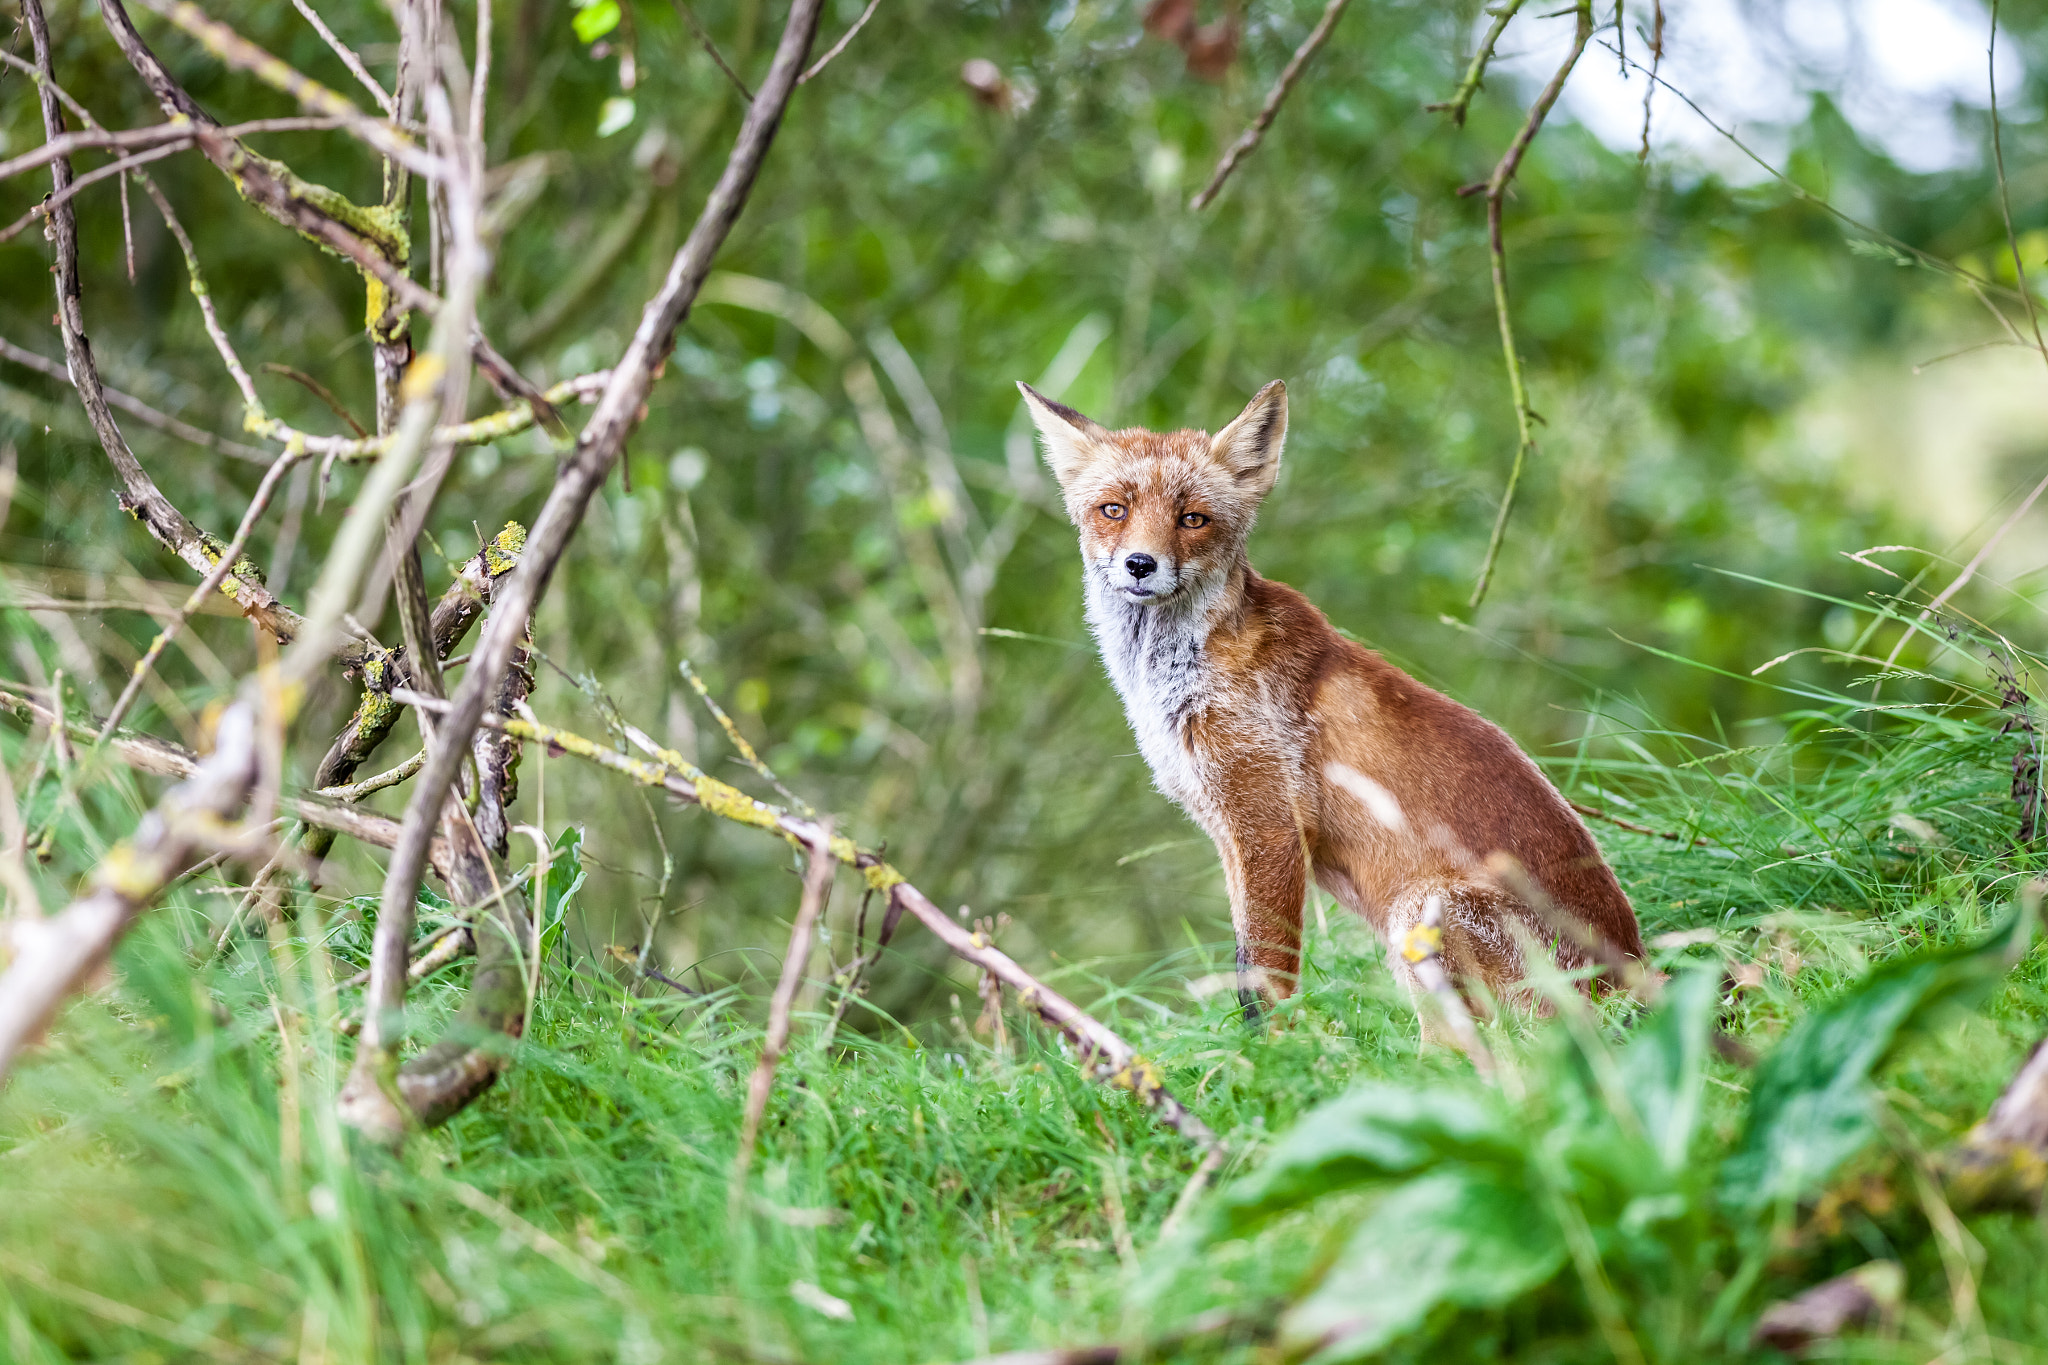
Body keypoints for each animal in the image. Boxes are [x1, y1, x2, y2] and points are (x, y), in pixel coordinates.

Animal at [1024, 378, 1646, 1019]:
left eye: (1192, 518)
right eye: (1113, 510)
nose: (1140, 565)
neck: (1174, 677)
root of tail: (1629, 979)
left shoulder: (1269, 820)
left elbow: (1264, 982)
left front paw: (1275, 1047)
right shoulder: (1228, 832)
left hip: (1418, 914)